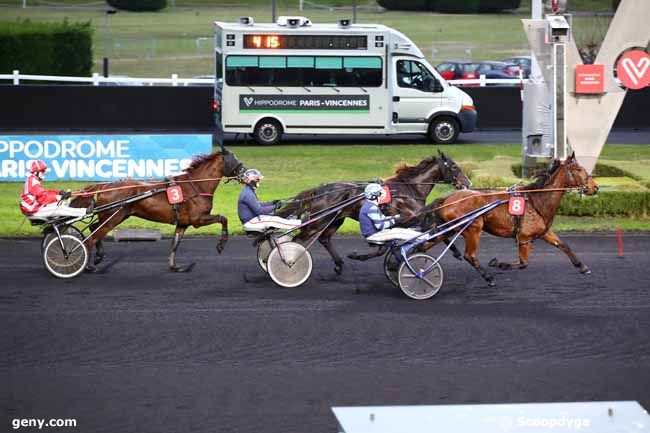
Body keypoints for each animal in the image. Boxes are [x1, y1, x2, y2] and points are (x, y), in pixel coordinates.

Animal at [73, 147, 246, 272]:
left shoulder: (183, 223)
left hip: (115, 216)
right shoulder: (198, 219)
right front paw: (221, 245)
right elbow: (223, 218)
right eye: (235, 160)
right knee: (92, 238)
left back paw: (98, 257)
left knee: (94, 227)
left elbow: (175, 243)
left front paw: (174, 266)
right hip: (113, 217)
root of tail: (105, 185)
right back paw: (89, 265)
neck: (196, 186)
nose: (245, 173)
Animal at [274, 150, 470, 274]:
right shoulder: (412, 216)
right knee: (296, 241)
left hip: (336, 219)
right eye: (454, 167)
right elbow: (436, 231)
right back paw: (289, 264)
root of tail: (319, 190)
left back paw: (338, 264)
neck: (409, 188)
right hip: (318, 222)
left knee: (324, 239)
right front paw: (455, 251)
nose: (467, 183)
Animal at [426, 152, 596, 286]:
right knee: (470, 255)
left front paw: (582, 266)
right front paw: (499, 264)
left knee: (430, 242)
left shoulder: (544, 232)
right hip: (473, 228)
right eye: (578, 169)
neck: (537, 200)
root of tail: (447, 199)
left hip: (451, 229)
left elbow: (563, 245)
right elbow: (523, 263)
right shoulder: (524, 238)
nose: (595, 187)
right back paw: (489, 278)